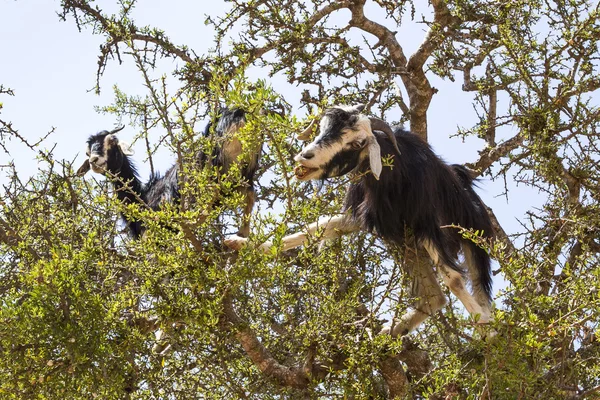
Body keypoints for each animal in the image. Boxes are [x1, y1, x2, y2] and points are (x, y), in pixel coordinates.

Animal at [75, 107, 260, 238]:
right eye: (87, 152)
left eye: (113, 141)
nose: (94, 160)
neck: (144, 197)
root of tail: (236, 115)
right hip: (246, 172)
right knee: (250, 195)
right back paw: (241, 235)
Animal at [225, 104, 492, 338]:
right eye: (322, 128)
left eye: (355, 143)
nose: (305, 156)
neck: (394, 174)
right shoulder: (367, 216)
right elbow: (319, 226)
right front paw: (242, 243)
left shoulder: (427, 223)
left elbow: (454, 279)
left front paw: (486, 329)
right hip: (408, 246)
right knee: (433, 297)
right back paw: (386, 334)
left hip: (472, 236)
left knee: (476, 286)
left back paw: (490, 329)